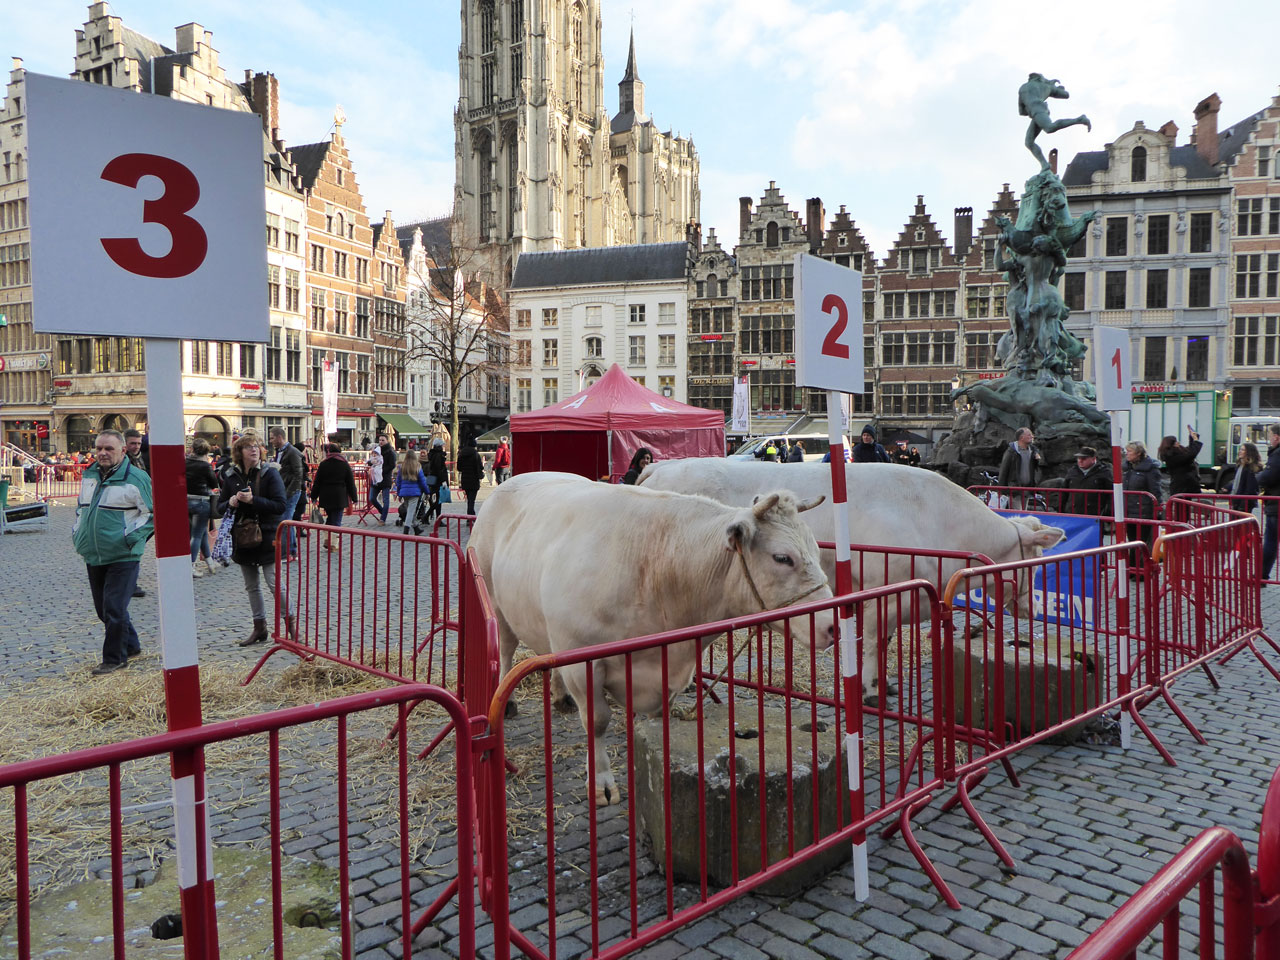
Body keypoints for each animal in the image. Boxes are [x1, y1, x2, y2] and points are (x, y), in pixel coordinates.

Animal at [468, 471, 829, 803]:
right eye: (782, 557)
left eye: (815, 548)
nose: (831, 626)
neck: (656, 569)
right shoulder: (581, 661)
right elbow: (597, 722)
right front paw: (602, 784)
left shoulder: (661, 668)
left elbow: (655, 721)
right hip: (496, 604)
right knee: (505, 651)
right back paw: (508, 702)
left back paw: (560, 697)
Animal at [640, 460, 1070, 701]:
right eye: (1036, 562)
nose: (1034, 607)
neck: (936, 520)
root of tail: (660, 467)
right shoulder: (884, 591)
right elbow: (872, 643)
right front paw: (868, 690)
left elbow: (883, 643)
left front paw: (883, 683)